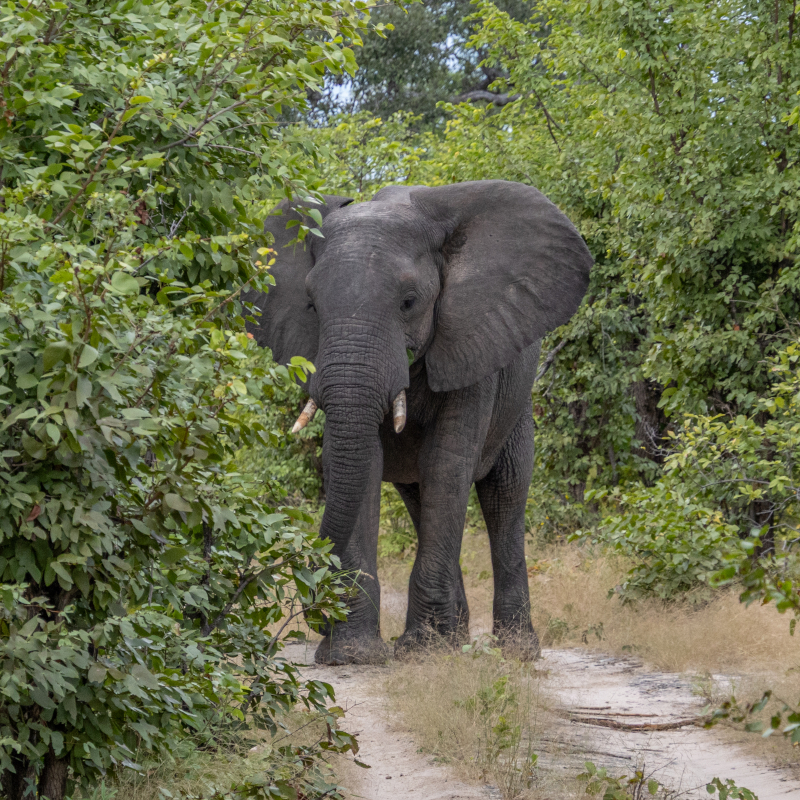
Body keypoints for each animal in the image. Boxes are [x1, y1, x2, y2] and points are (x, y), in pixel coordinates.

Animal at [245, 180, 592, 665]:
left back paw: (516, 651)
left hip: (517, 403)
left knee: (504, 493)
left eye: (409, 303)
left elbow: (447, 464)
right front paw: (354, 654)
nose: (318, 622)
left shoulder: (470, 340)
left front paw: (424, 652)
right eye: (311, 306)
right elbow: (362, 462)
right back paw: (458, 635)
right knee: (419, 498)